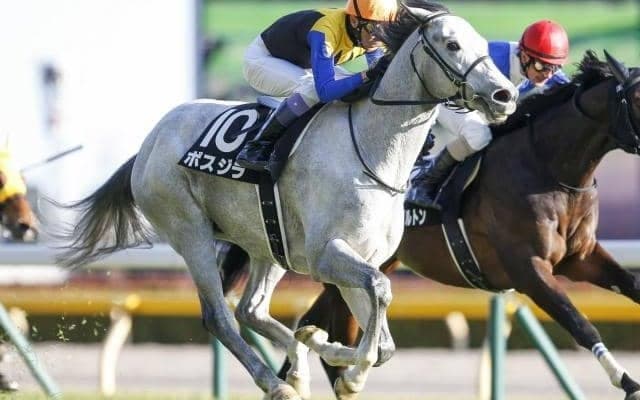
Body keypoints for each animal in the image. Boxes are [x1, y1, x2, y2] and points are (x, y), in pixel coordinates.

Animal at [56, 2, 517, 399]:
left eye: (482, 43)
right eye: (452, 45)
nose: (505, 95)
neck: (372, 153)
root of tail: (150, 140)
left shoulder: (362, 256)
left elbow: (382, 337)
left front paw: (330, 353)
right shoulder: (326, 255)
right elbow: (381, 291)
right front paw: (348, 375)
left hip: (267, 242)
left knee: (252, 311)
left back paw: (297, 368)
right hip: (191, 232)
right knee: (220, 316)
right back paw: (276, 383)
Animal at [217, 50, 640, 400]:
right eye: (636, 99)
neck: (547, 167)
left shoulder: (579, 258)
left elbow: (630, 287)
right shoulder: (529, 270)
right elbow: (580, 324)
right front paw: (627, 382)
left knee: (314, 324)